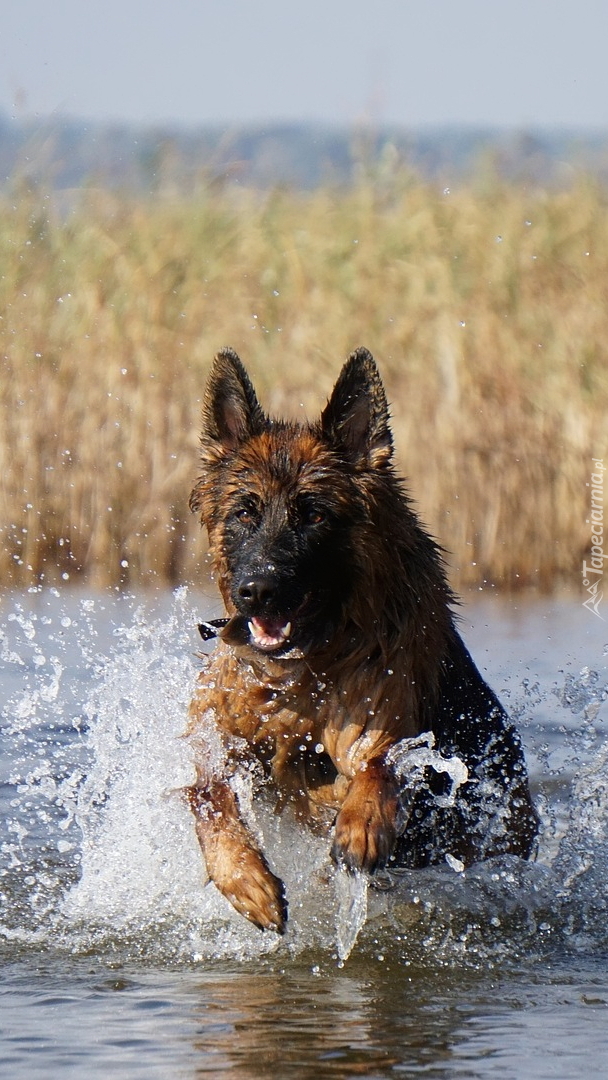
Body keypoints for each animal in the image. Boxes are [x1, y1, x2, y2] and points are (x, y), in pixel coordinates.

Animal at [187, 349, 539, 933]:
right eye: (244, 512)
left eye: (313, 514)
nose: (257, 590)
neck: (303, 672)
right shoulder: (224, 734)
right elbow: (206, 792)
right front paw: (246, 880)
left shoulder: (378, 716)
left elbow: (380, 766)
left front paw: (361, 828)